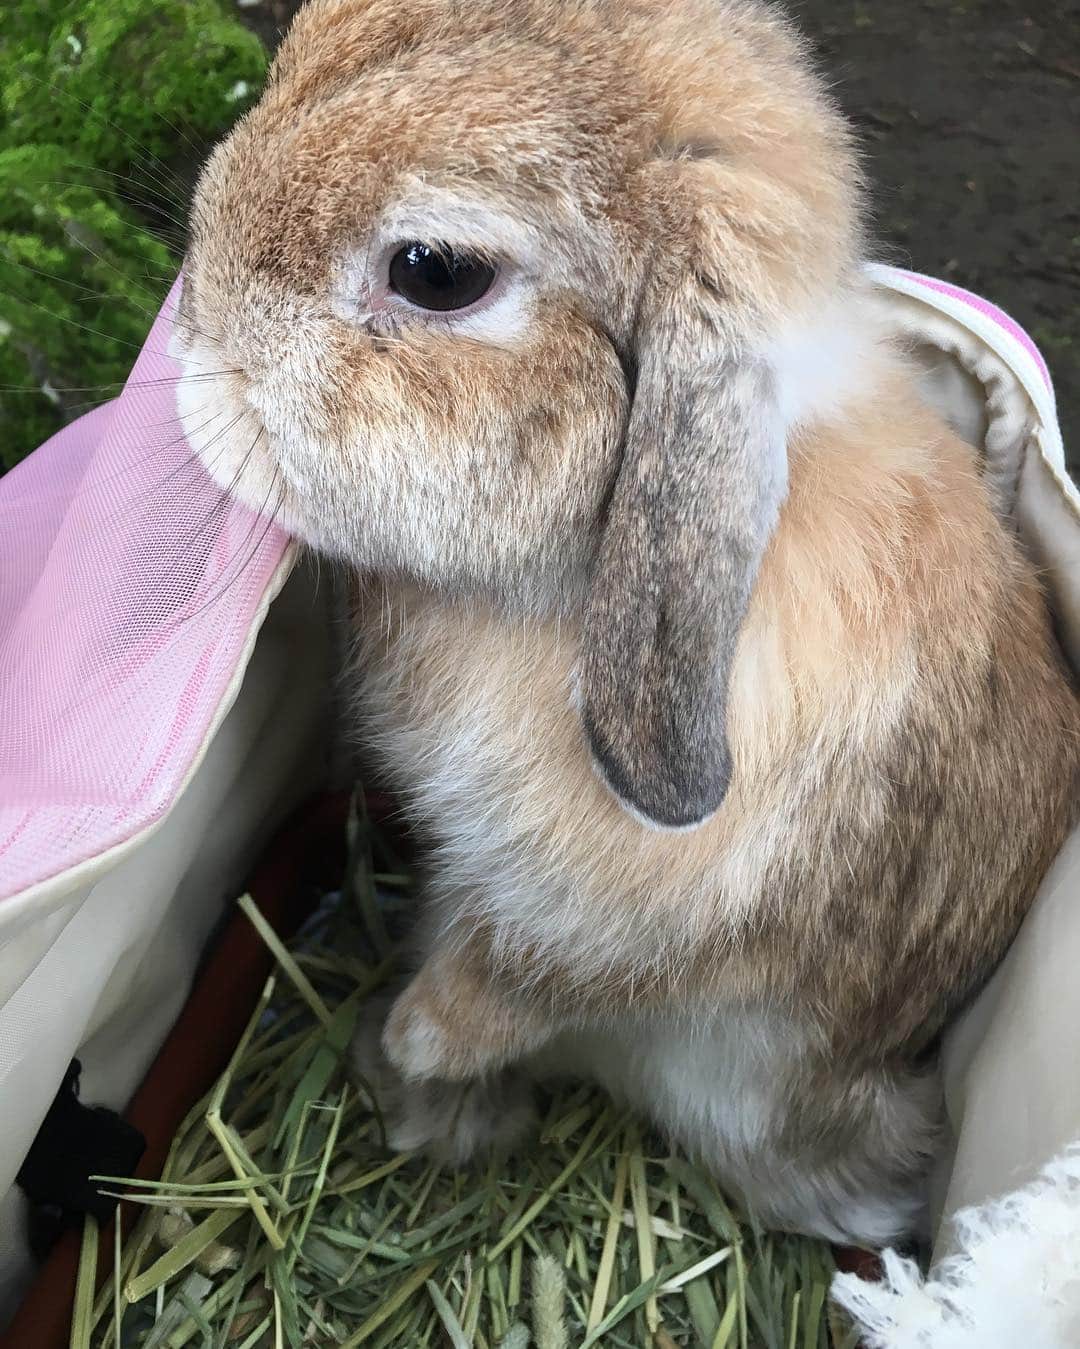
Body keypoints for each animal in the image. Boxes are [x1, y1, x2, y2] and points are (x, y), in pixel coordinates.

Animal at [170, 0, 1080, 1245]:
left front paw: (411, 1039)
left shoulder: (581, 928)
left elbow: (499, 988)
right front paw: (409, 1073)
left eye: (436, 272)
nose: (190, 343)